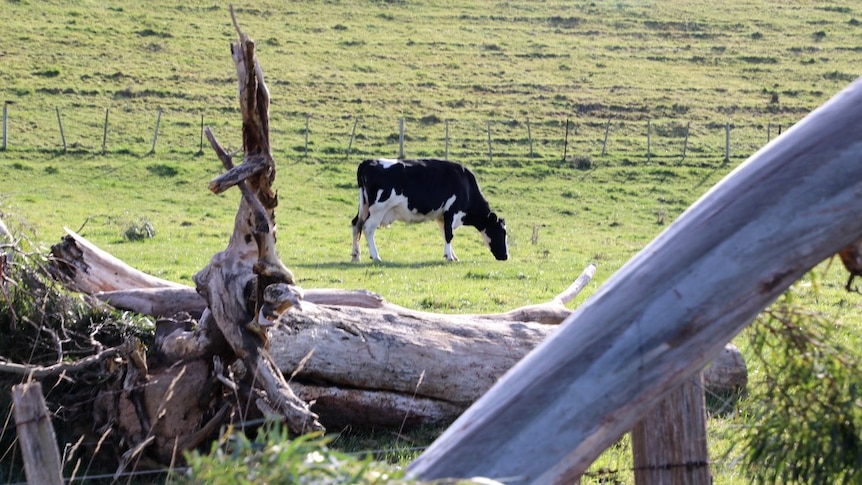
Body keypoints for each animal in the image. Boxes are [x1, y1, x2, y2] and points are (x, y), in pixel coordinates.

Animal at [354, 158, 510, 260]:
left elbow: (445, 234)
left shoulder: (442, 217)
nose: (505, 256)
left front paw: (452, 255)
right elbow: (449, 235)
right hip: (378, 209)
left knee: (356, 224)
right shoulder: (452, 212)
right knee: (368, 228)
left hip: (364, 207)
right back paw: (376, 256)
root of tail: (368, 161)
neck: (466, 185)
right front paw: (450, 257)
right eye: (502, 232)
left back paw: (356, 255)